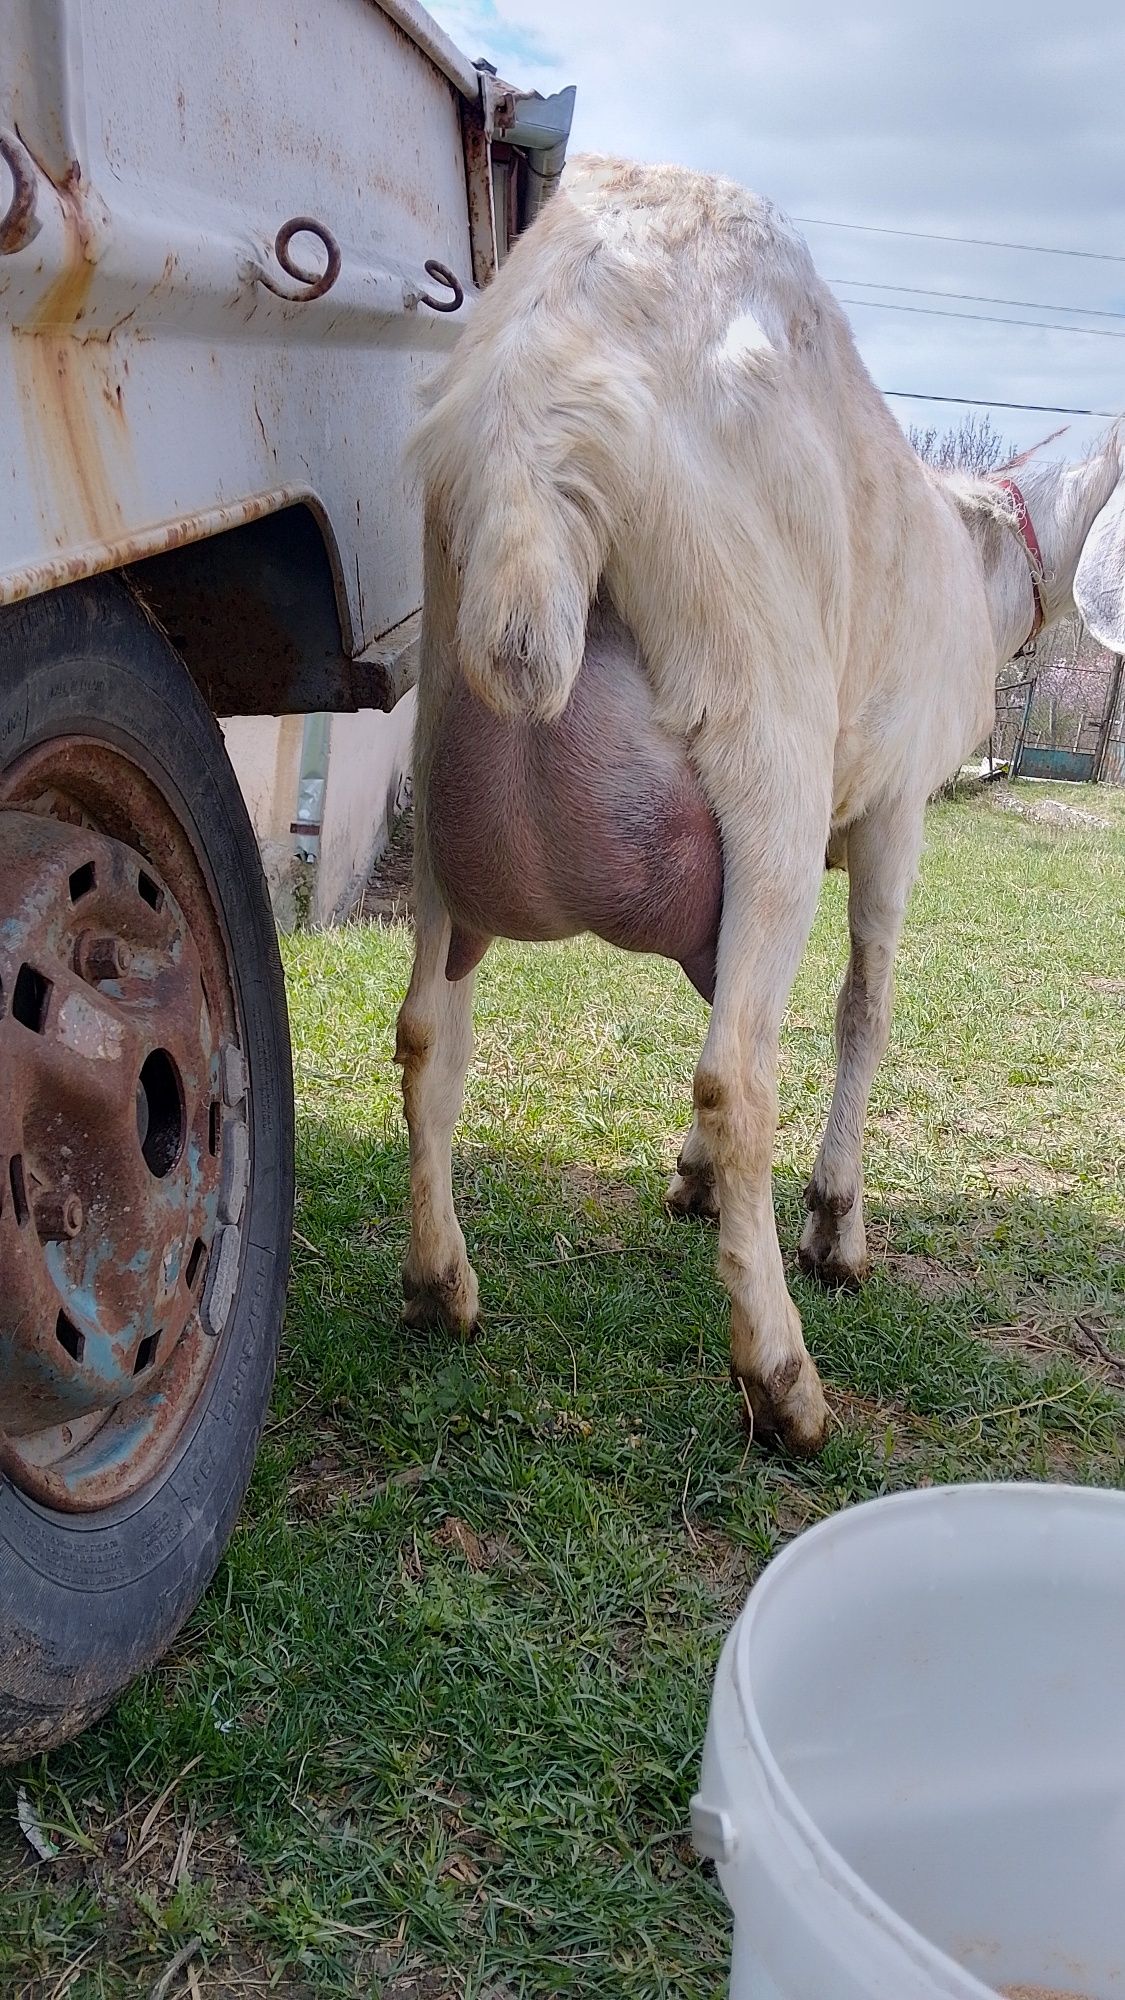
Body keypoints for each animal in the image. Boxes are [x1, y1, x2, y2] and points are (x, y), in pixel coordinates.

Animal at [394, 152, 1120, 1456]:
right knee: (737, 1071)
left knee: (429, 1026)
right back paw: (784, 1380)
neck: (982, 563)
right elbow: (864, 1007)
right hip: (767, 742)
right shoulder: (894, 810)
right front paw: (837, 1223)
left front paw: (687, 1180)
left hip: (440, 759)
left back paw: (441, 1284)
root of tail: (540, 403)